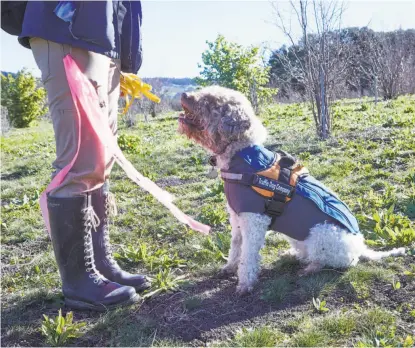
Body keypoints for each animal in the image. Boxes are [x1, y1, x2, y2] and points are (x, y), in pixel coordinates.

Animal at [178, 85, 406, 294]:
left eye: (211, 101)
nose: (183, 94)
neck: (240, 155)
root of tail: (361, 246)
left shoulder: (255, 220)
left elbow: (248, 255)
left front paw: (245, 283)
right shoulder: (237, 217)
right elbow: (235, 245)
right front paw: (229, 267)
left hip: (323, 233)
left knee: (338, 261)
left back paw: (311, 268)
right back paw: (292, 255)